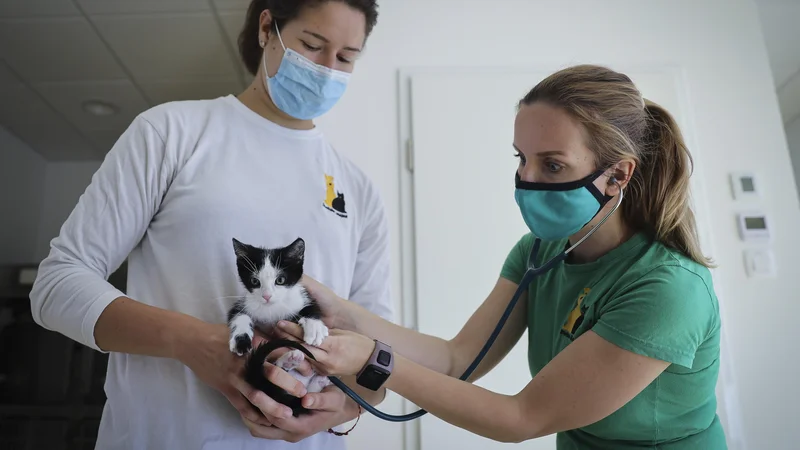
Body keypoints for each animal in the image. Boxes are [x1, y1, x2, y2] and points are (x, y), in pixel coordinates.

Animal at [228, 237, 332, 416]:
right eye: (255, 281)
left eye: (280, 280)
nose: (267, 296)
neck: (271, 308)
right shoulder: (243, 303)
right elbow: (239, 315)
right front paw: (241, 340)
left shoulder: (302, 296)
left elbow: (311, 307)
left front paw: (314, 327)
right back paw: (289, 362)